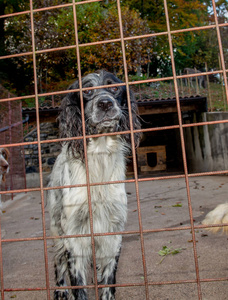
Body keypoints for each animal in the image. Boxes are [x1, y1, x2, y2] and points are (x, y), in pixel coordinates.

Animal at [47, 71, 141, 300]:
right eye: (87, 91)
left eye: (114, 88)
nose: (105, 103)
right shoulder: (74, 237)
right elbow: (78, 286)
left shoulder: (112, 233)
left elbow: (108, 284)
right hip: (56, 230)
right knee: (58, 265)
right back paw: (60, 291)